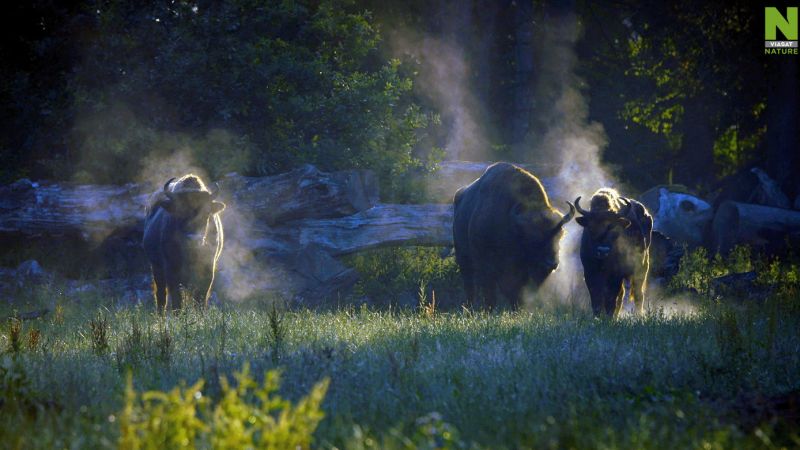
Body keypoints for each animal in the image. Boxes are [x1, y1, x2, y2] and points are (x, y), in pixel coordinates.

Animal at [142, 174, 225, 312]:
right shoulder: (171, 271)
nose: (193, 239)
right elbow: (177, 300)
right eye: (179, 211)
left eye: (207, 212)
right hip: (156, 268)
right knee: (161, 296)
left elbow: (201, 298)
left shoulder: (208, 269)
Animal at [450, 163, 576, 310]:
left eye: (559, 235)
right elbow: (492, 290)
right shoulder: (488, 265)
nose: (551, 263)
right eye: (533, 238)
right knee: (470, 284)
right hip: (464, 258)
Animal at [580, 188, 652, 318]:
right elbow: (596, 297)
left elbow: (611, 297)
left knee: (638, 294)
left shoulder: (616, 274)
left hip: (642, 269)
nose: (603, 251)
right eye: (591, 228)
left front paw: (608, 316)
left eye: (613, 228)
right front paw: (598, 316)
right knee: (622, 295)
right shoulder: (589, 271)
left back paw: (638, 316)